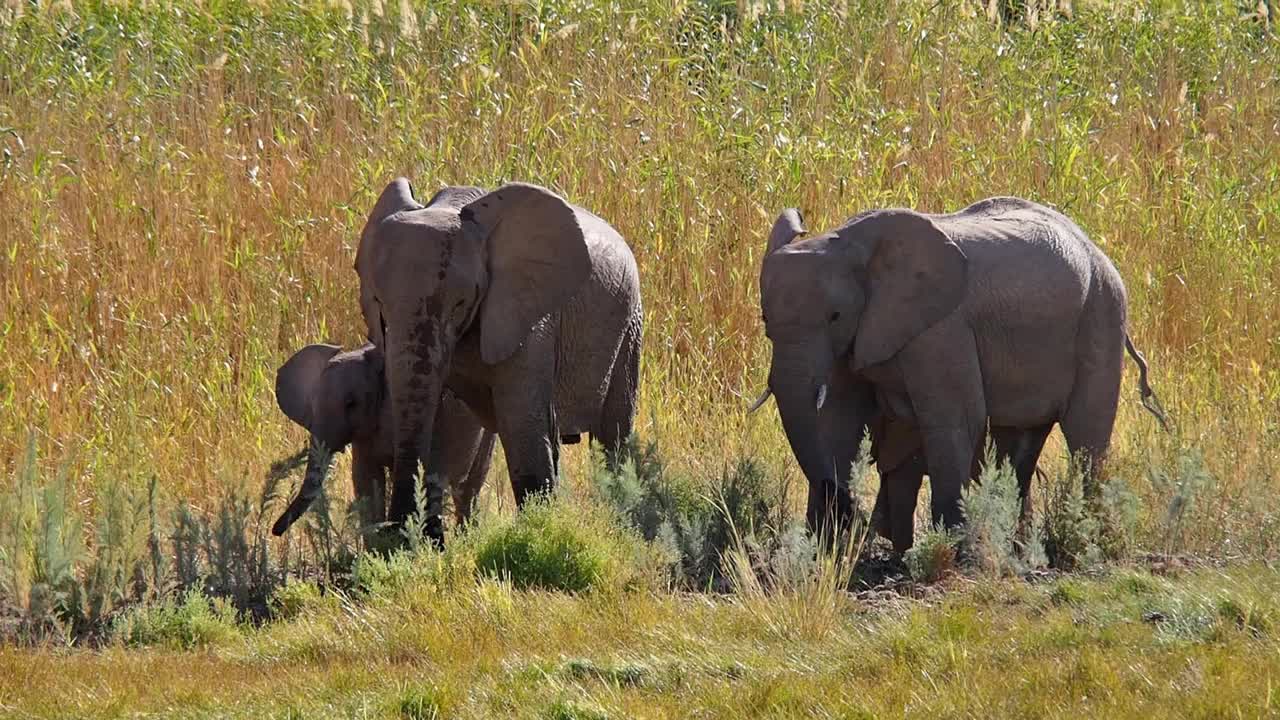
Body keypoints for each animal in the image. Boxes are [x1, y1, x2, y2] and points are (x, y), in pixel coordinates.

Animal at [296, 176, 640, 540]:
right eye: (379, 304)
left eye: (461, 304)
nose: (398, 531)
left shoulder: (529, 318)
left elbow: (521, 422)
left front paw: (540, 531)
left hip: (630, 324)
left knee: (612, 435)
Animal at [752, 198, 1167, 535]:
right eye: (765, 320)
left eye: (835, 316)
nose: (853, 513)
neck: (848, 244)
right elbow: (839, 420)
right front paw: (825, 546)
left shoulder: (942, 330)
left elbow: (955, 420)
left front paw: (949, 545)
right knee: (1019, 442)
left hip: (1102, 313)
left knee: (1086, 433)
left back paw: (1083, 535)